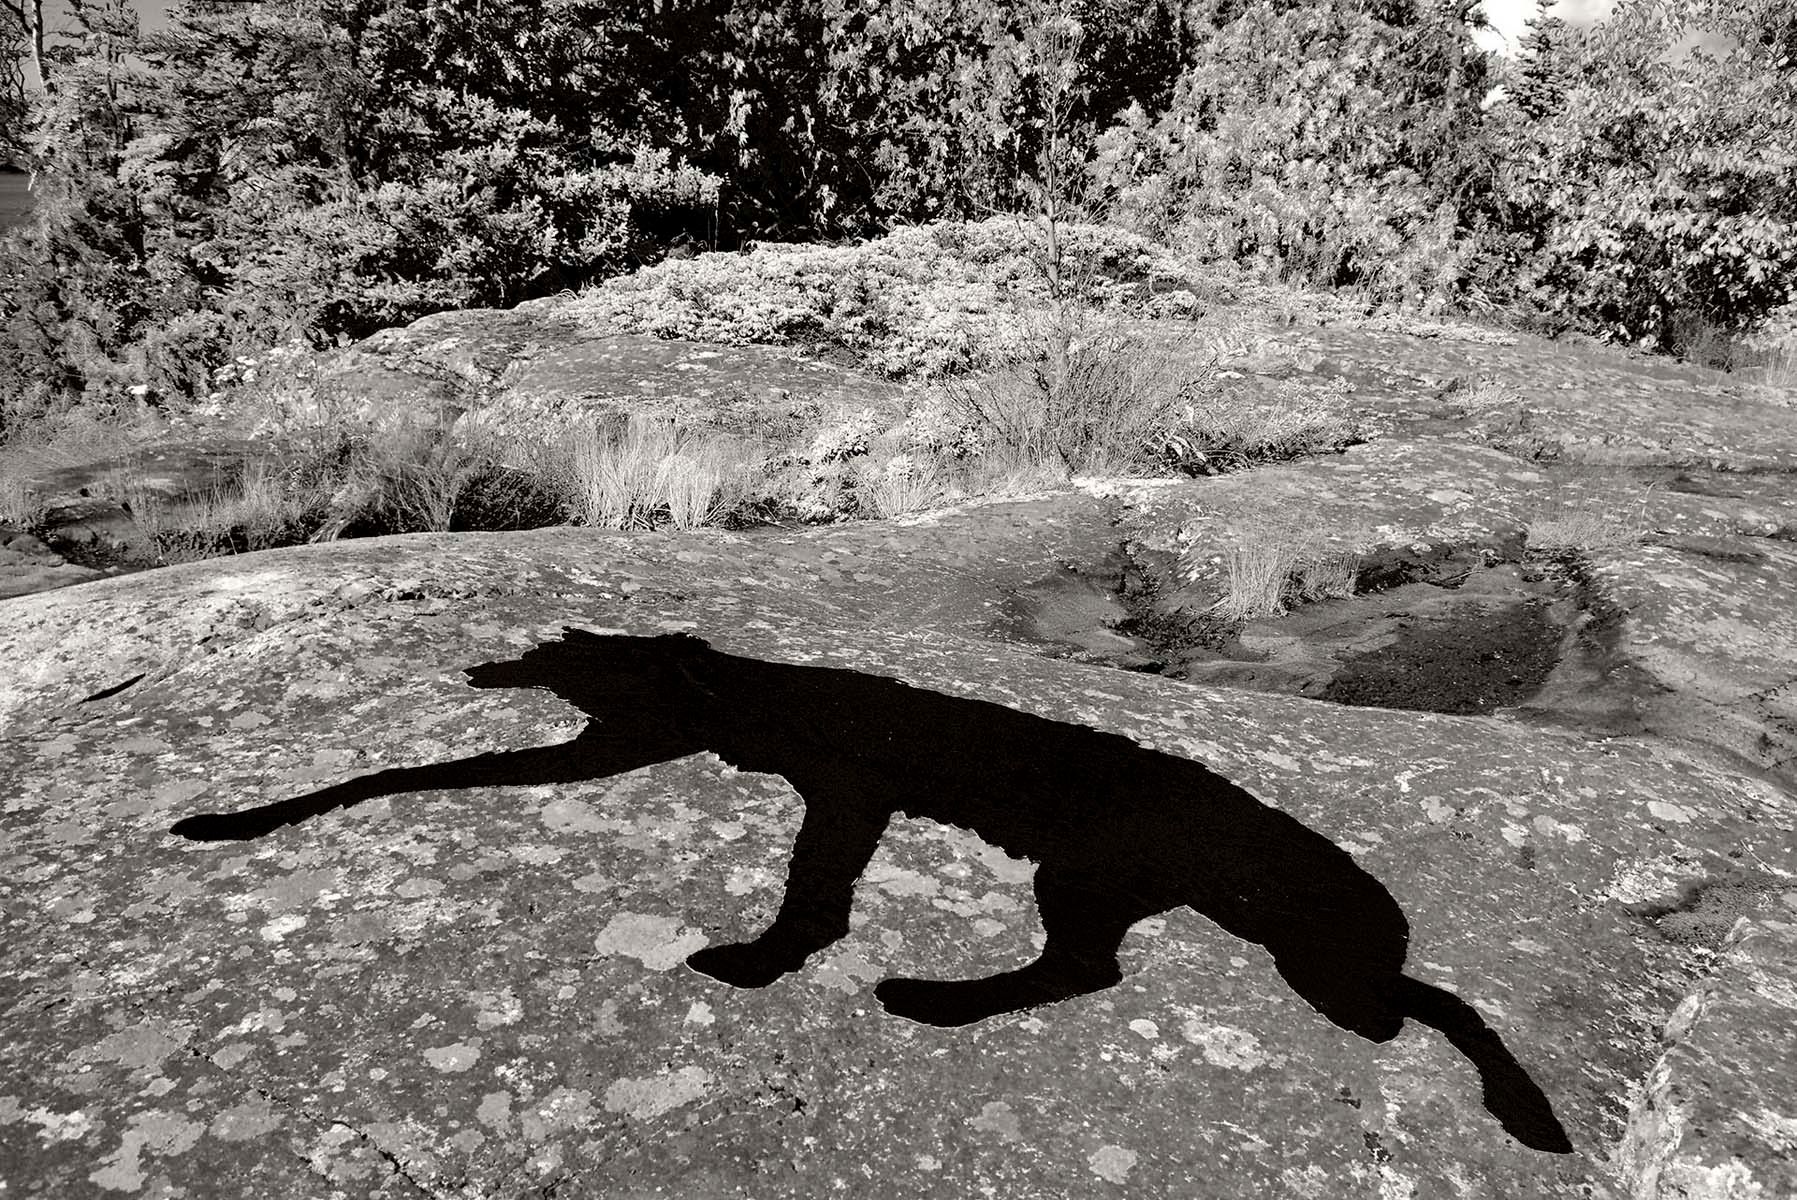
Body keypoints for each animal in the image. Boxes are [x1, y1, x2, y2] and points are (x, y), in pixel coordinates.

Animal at [172, 628, 1572, 1152]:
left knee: (1384, 1005)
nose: (482, 664)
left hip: (1165, 902)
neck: (742, 689)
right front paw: (235, 815)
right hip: (1136, 894)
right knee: (1104, 969)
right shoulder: (823, 788)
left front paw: (759, 962)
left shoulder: (834, 786)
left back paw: (925, 1001)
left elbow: (811, 890)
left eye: (574, 661)